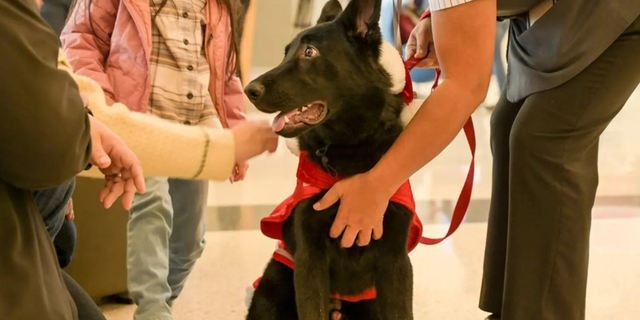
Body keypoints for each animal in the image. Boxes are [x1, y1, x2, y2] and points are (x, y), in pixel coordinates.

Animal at [245, 0, 416, 320]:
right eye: (285, 52)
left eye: (309, 52)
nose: (250, 90)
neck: (348, 150)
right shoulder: (309, 260)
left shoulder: (396, 262)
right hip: (273, 286)